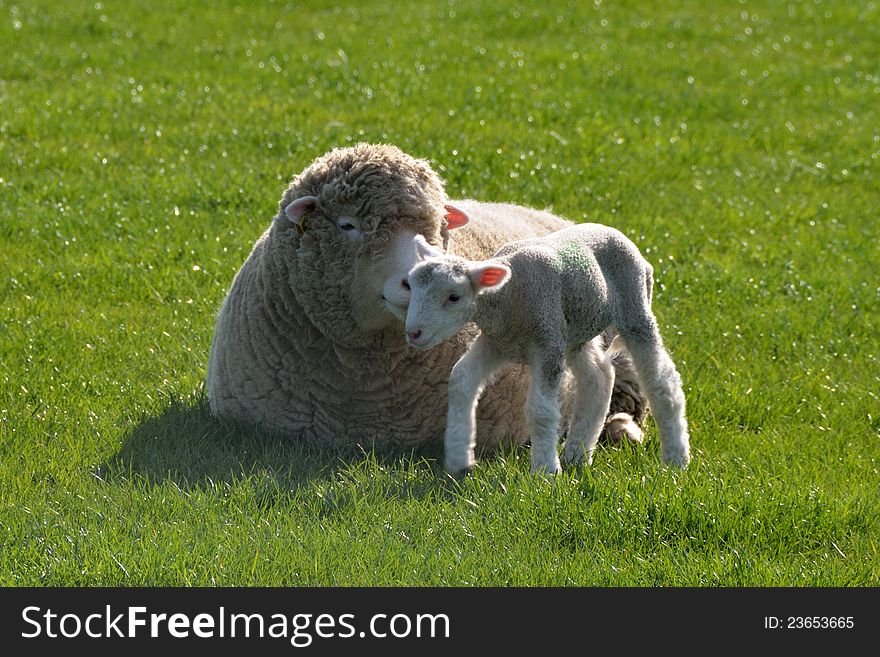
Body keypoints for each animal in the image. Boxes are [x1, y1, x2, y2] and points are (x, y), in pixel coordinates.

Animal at [402, 223, 692, 474]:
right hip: (574, 332)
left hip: (633, 312)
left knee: (662, 382)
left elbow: (540, 410)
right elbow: (461, 381)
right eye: (411, 286)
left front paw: (545, 472)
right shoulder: (495, 342)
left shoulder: (547, 345)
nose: (413, 333)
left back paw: (676, 458)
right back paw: (577, 454)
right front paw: (458, 460)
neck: (507, 295)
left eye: (454, 297)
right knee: (599, 378)